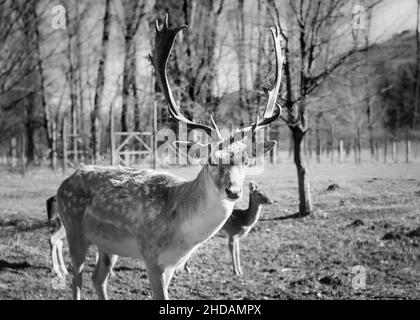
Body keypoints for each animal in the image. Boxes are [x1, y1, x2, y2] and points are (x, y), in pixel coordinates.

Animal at [54, 15, 284, 300]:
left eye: (246, 160)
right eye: (211, 160)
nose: (233, 191)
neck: (181, 236)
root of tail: (64, 183)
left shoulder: (173, 264)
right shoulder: (151, 255)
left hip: (107, 244)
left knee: (98, 278)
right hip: (73, 227)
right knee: (77, 279)